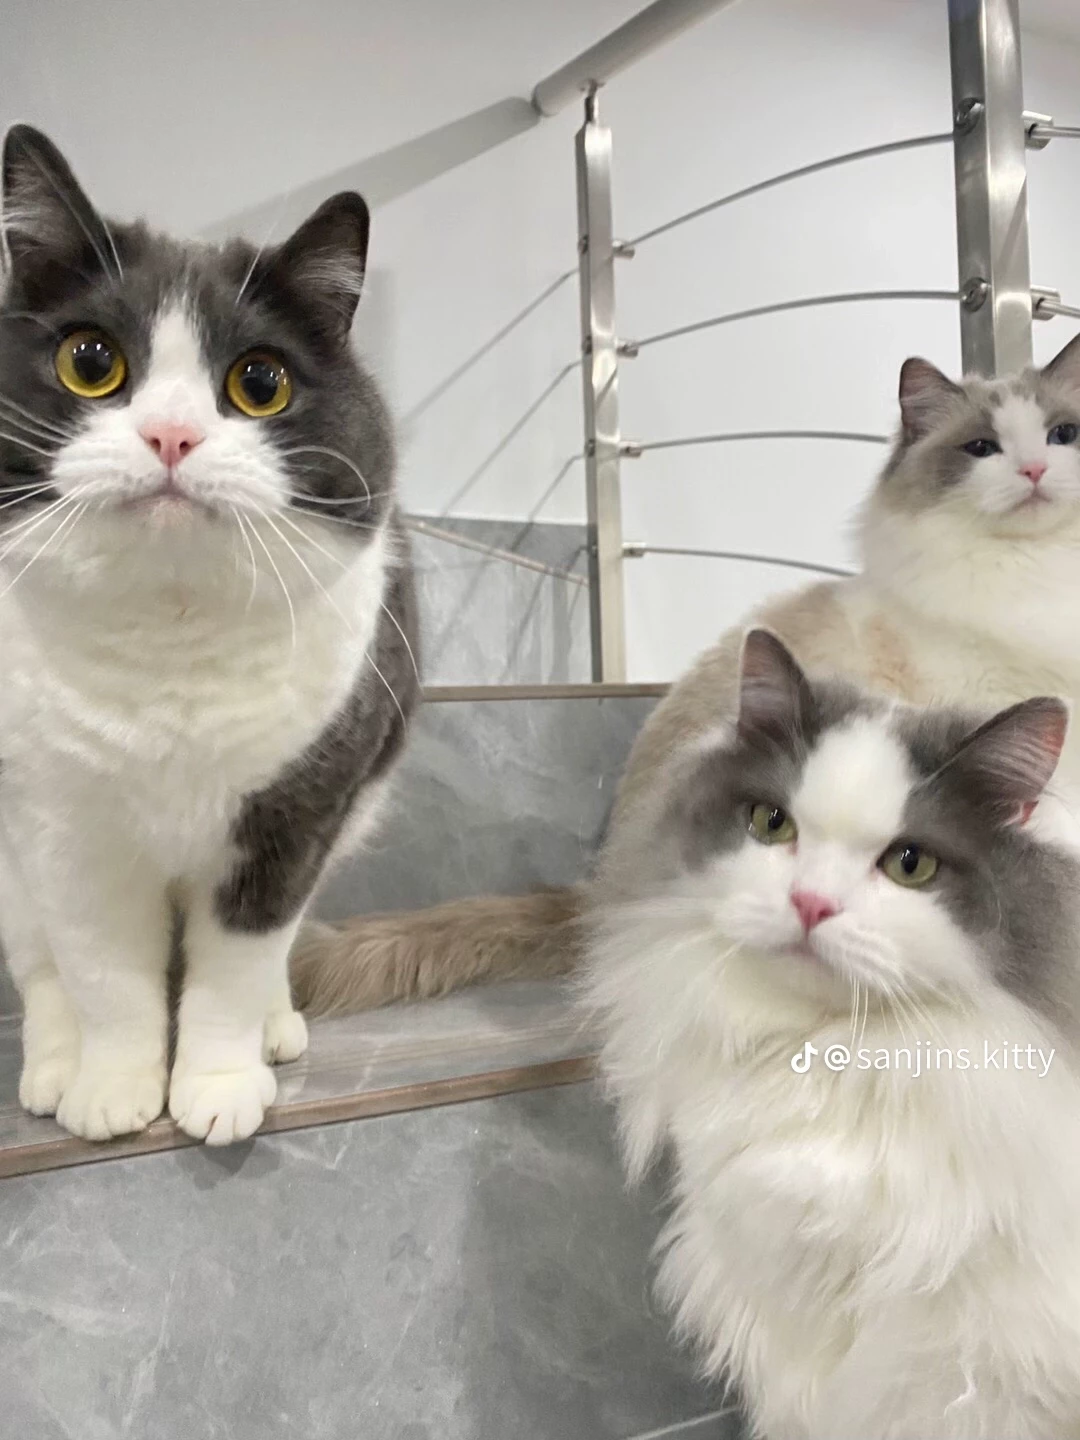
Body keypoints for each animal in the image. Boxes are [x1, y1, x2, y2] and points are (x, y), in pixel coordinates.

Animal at [0, 124, 419, 1145]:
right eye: (90, 362)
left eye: (259, 382)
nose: (172, 437)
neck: (169, 637)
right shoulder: (63, 829)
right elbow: (103, 974)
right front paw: (113, 1089)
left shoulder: (296, 814)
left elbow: (236, 967)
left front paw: (218, 1086)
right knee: (39, 964)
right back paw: (53, 1065)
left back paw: (275, 1029)